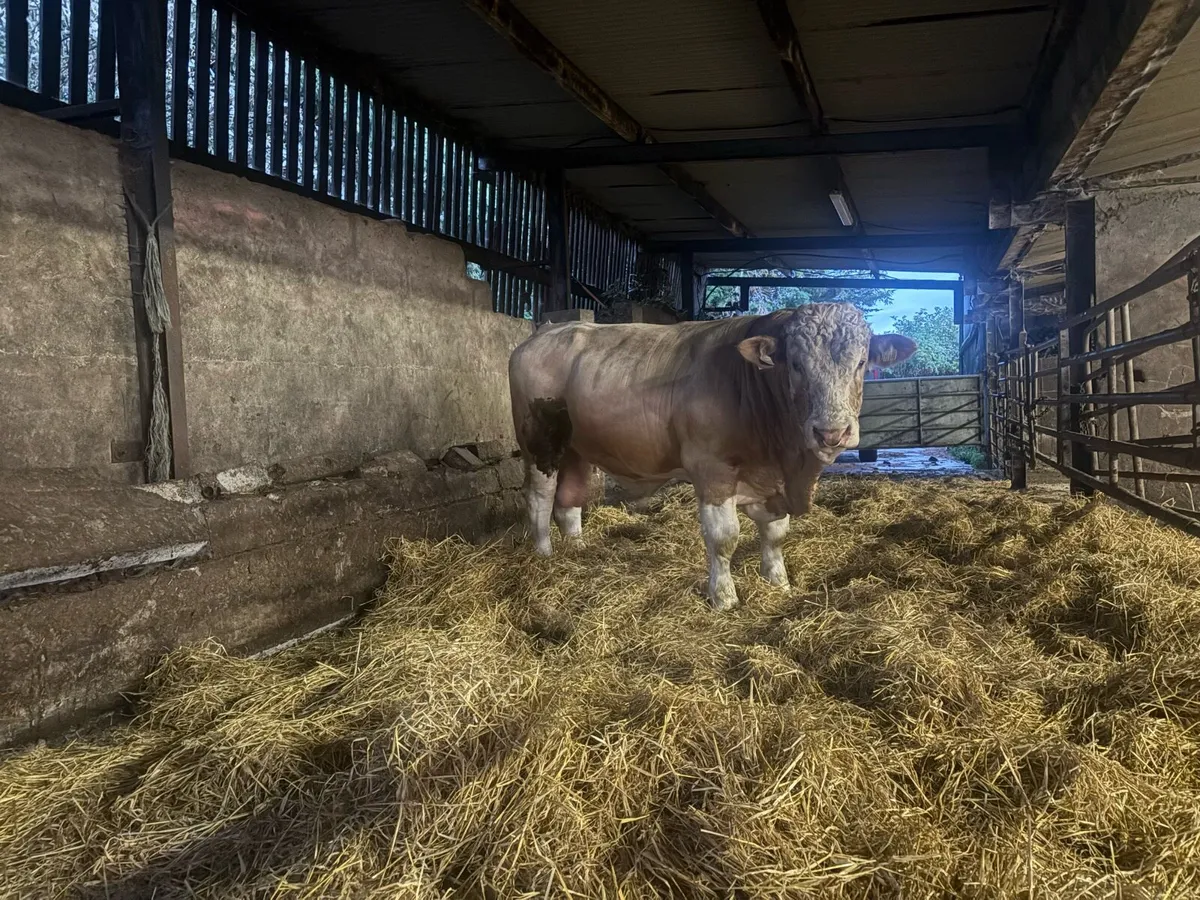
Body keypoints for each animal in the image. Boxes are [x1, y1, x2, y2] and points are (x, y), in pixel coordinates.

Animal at [507, 303, 917, 610]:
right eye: (796, 365)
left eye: (861, 363)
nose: (831, 432)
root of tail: (544, 331)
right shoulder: (712, 470)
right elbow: (724, 538)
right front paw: (724, 597)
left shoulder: (772, 482)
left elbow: (775, 535)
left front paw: (778, 583)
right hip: (539, 441)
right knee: (540, 498)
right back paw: (545, 555)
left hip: (577, 447)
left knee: (569, 500)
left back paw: (578, 550)